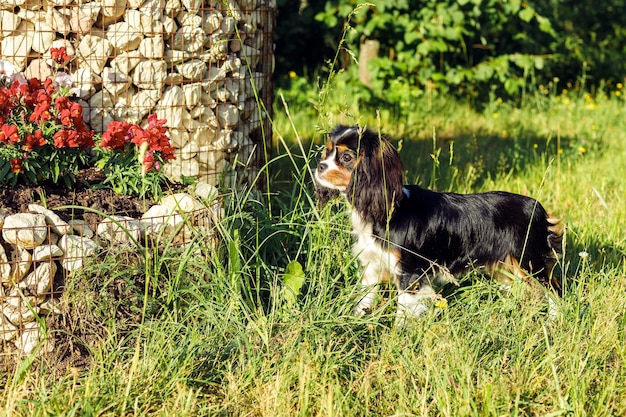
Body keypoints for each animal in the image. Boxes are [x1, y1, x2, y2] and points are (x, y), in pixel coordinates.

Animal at [314, 125, 564, 320]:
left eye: (347, 158)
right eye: (327, 152)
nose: (319, 166)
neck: (385, 211)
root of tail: (537, 207)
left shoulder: (409, 273)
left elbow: (403, 311)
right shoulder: (371, 267)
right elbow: (363, 300)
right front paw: (354, 321)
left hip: (529, 263)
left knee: (555, 289)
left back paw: (555, 319)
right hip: (507, 266)